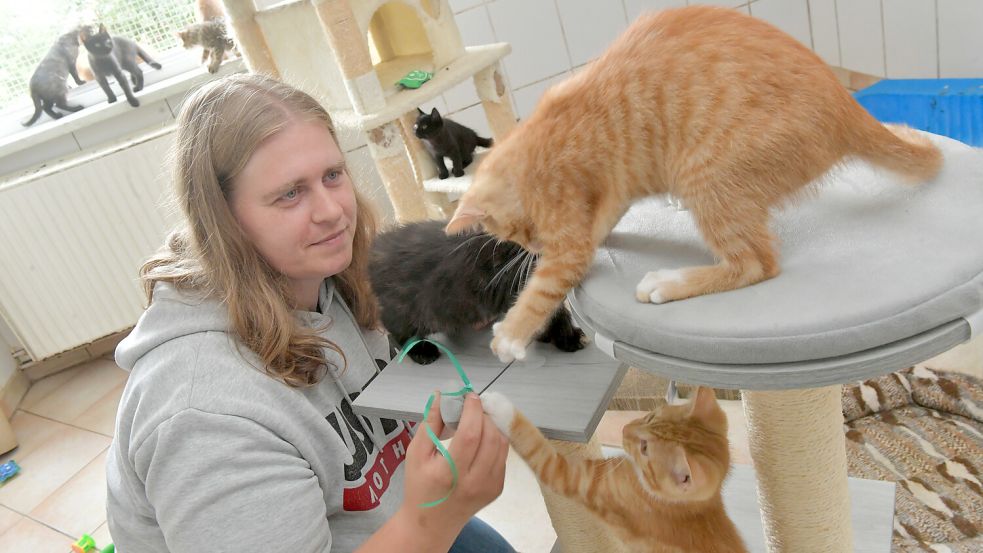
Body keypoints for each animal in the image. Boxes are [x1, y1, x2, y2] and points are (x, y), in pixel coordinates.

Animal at [442, 7, 940, 366]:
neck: (535, 143)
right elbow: (600, 223)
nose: (532, 245)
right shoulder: (610, 194)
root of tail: (846, 104)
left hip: (705, 174)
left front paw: (511, 334)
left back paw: (669, 282)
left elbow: (550, 280)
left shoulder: (569, 232)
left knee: (756, 263)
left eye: (516, 233)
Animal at [480, 388, 748, 552]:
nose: (625, 429)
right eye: (649, 416)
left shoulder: (577, 479)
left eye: (644, 448)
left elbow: (535, 446)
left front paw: (497, 405)